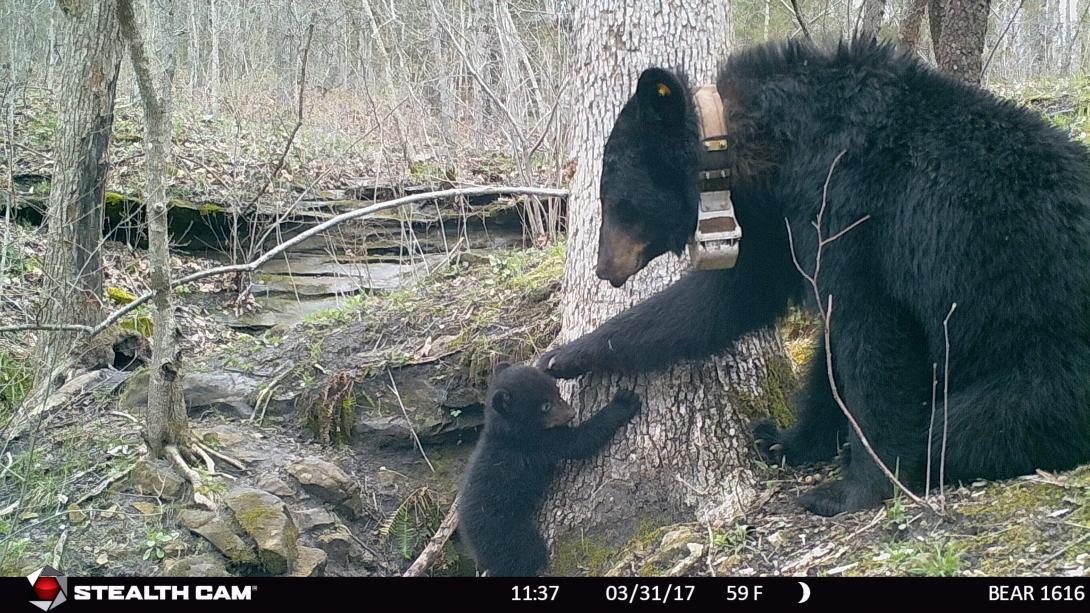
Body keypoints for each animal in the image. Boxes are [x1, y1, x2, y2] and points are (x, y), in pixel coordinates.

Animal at [459, 362, 636, 571]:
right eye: (545, 406)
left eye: (557, 391)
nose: (571, 413)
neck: (511, 435)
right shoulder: (540, 445)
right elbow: (580, 442)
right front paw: (623, 402)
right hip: (505, 532)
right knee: (524, 556)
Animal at [540, 38, 1090, 512]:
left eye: (615, 200)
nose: (604, 268)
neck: (772, 148)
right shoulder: (779, 227)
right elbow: (733, 301)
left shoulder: (845, 208)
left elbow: (869, 336)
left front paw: (850, 488)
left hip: (1046, 362)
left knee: (966, 425)